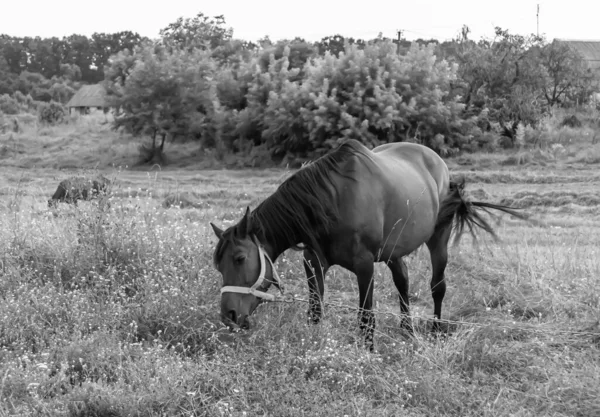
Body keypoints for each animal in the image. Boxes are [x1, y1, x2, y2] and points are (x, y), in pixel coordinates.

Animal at [210, 139, 524, 348]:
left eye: (239, 258)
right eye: (218, 266)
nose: (228, 316)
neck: (332, 201)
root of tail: (437, 162)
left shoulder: (364, 266)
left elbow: (365, 315)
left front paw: (367, 351)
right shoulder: (313, 262)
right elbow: (315, 311)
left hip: (439, 238)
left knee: (438, 286)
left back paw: (435, 330)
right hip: (394, 251)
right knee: (403, 282)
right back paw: (407, 330)